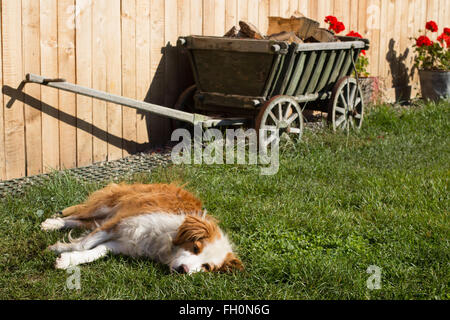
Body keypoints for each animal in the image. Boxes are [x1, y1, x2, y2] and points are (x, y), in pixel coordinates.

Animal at [41, 184, 243, 274]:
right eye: (195, 247)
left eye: (207, 267)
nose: (183, 270)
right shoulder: (121, 221)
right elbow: (83, 244)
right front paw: (59, 248)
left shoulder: (124, 244)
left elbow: (97, 251)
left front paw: (68, 259)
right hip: (110, 206)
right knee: (77, 215)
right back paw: (53, 223)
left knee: (84, 222)